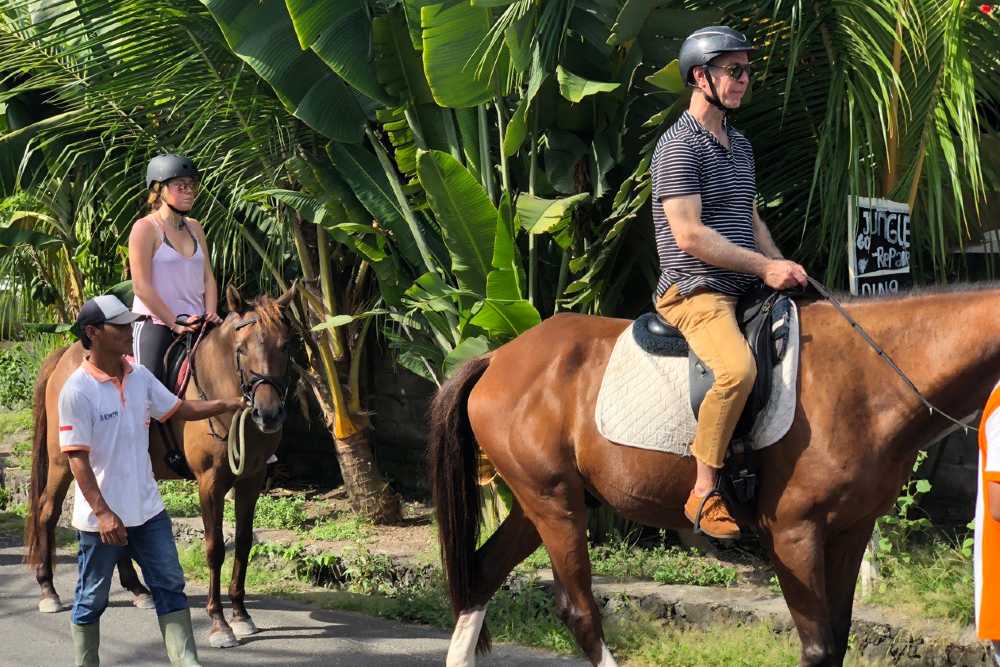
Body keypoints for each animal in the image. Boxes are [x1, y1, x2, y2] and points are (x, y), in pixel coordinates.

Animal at [25, 284, 294, 648]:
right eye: (241, 349)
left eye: (285, 346)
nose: (269, 414)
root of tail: (66, 355)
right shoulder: (209, 482)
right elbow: (214, 548)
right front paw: (219, 622)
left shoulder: (251, 479)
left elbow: (243, 542)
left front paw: (240, 614)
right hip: (61, 462)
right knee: (47, 511)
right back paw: (48, 590)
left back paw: (137, 589)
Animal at [428, 284, 1000, 664]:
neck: (867, 374)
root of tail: (498, 358)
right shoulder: (794, 535)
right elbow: (818, 645)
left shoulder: (851, 529)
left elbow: (838, 638)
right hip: (556, 506)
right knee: (578, 610)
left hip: (538, 503)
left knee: (482, 574)